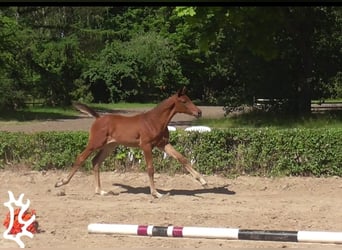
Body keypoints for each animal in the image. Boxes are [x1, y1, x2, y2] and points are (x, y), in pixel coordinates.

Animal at [54, 87, 207, 197]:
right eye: (184, 101)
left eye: (189, 99)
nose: (199, 112)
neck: (155, 121)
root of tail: (98, 118)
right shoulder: (146, 146)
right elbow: (150, 168)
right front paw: (155, 193)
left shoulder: (162, 144)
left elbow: (182, 158)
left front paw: (203, 181)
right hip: (95, 143)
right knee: (81, 158)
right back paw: (61, 182)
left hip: (110, 146)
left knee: (95, 161)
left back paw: (100, 191)